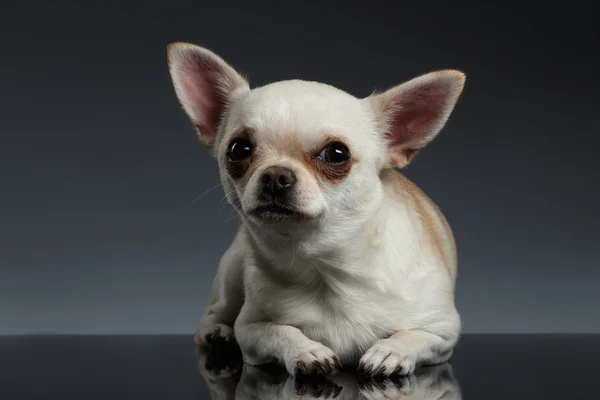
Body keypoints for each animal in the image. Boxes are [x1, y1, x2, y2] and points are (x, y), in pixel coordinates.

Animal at [168, 43, 464, 378]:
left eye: (337, 154)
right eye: (238, 149)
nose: (275, 175)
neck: (324, 267)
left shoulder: (443, 332)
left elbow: (413, 335)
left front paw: (390, 351)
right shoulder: (251, 328)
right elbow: (280, 332)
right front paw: (307, 351)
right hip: (232, 271)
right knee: (213, 313)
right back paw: (217, 333)